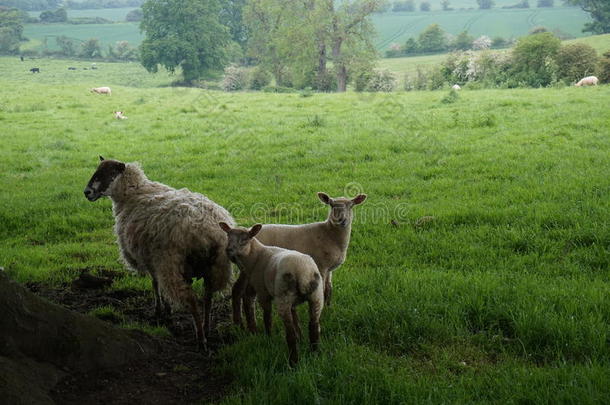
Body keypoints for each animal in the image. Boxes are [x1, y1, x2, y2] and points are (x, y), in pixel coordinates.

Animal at [85, 155, 235, 348]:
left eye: (107, 173)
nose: (87, 192)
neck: (133, 192)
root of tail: (206, 231)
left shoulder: (150, 258)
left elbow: (155, 283)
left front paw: (161, 310)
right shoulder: (152, 259)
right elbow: (157, 284)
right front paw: (165, 308)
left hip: (170, 263)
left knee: (191, 300)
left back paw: (200, 337)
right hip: (215, 266)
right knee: (208, 297)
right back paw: (206, 327)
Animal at [218, 221, 324, 366]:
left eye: (244, 239)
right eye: (228, 236)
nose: (228, 251)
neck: (256, 256)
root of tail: (303, 272)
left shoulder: (263, 292)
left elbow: (267, 318)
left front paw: (268, 338)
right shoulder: (292, 303)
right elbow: (295, 318)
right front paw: (300, 337)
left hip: (283, 297)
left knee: (289, 333)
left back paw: (293, 362)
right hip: (316, 297)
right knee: (314, 327)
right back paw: (314, 355)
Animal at [228, 190, 360, 326]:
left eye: (351, 206)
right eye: (332, 205)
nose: (342, 220)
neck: (329, 234)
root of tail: (248, 231)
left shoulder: (329, 269)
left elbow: (329, 289)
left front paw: (329, 309)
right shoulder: (321, 266)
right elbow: (323, 290)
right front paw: (323, 314)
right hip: (249, 266)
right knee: (239, 290)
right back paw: (238, 322)